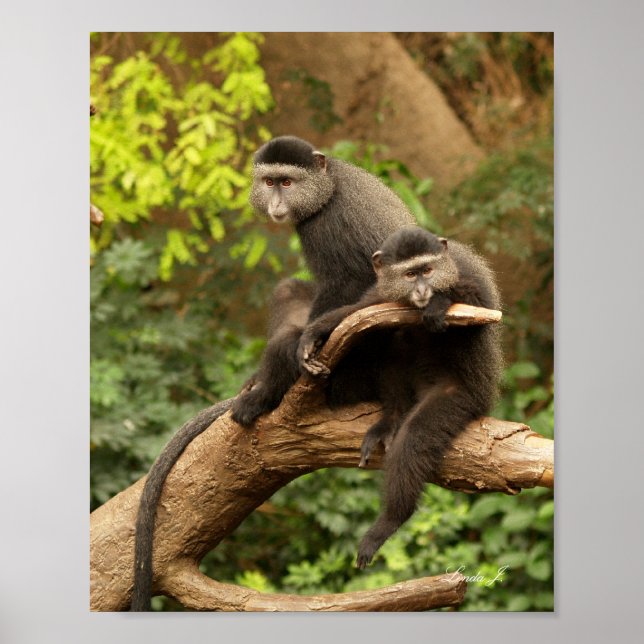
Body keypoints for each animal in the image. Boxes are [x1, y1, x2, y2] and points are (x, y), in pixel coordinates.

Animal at [231, 135, 416, 426]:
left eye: (287, 183)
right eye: (269, 182)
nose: (276, 204)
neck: (328, 186)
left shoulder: (325, 225)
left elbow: (350, 280)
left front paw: (308, 342)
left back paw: (264, 396)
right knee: (287, 290)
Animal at [298, 227, 503, 569]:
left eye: (427, 271)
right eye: (409, 274)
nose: (422, 290)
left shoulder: (465, 274)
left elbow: (480, 310)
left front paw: (439, 302)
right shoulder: (383, 291)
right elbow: (361, 310)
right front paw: (314, 333)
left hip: (462, 397)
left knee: (415, 438)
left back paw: (391, 520)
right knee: (390, 338)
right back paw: (391, 419)